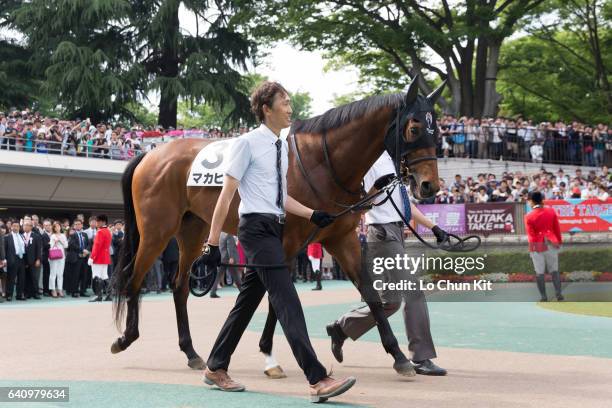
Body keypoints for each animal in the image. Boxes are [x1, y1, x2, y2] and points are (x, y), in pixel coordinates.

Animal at [110, 75, 444, 374]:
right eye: (414, 127)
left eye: (437, 129)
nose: (430, 186)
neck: (324, 163)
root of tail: (150, 155)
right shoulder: (287, 241)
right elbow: (276, 295)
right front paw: (268, 348)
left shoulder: (341, 238)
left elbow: (368, 291)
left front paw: (399, 356)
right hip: (156, 231)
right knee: (133, 278)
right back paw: (125, 338)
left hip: (193, 231)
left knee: (180, 287)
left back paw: (191, 352)